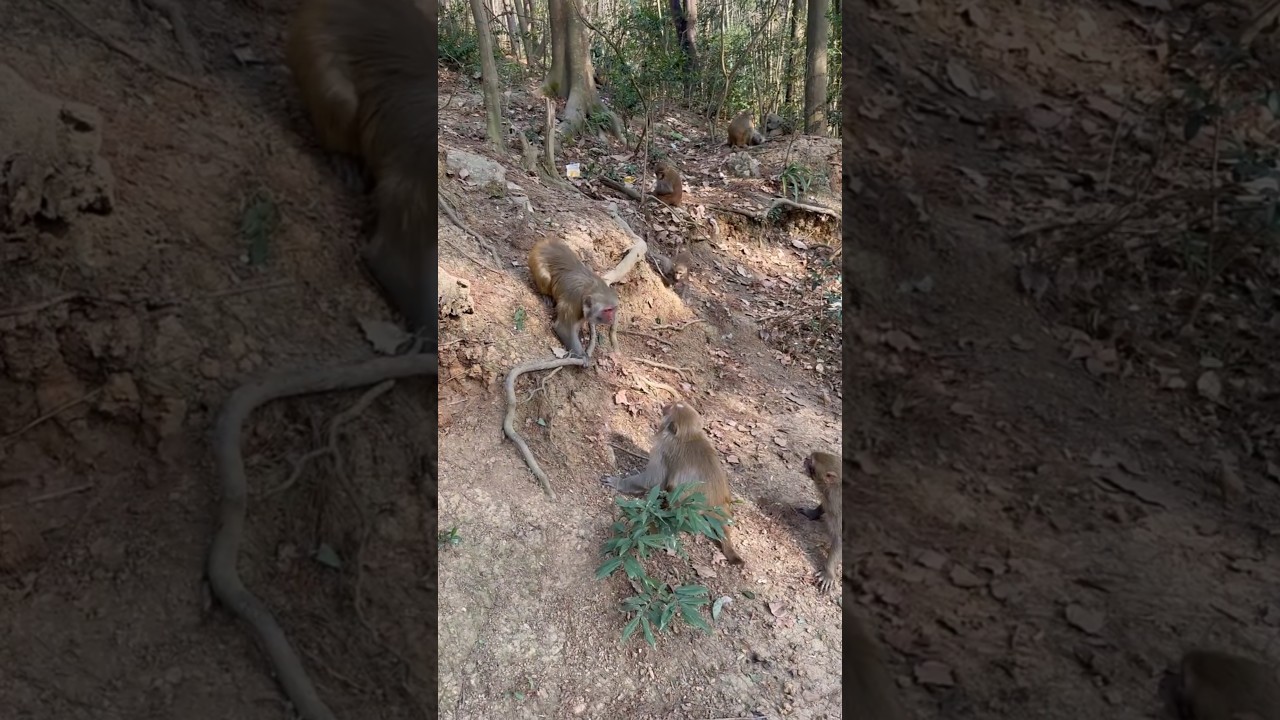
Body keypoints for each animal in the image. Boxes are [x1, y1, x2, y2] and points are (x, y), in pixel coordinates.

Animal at [601, 402, 744, 565]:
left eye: (671, 408)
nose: (665, 405)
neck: (689, 437)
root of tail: (720, 508)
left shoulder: (663, 448)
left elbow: (654, 480)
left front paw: (618, 482)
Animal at [797, 450, 841, 593]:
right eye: (809, 457)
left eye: (811, 462)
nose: (805, 459)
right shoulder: (831, 500)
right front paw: (813, 512)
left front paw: (828, 573)